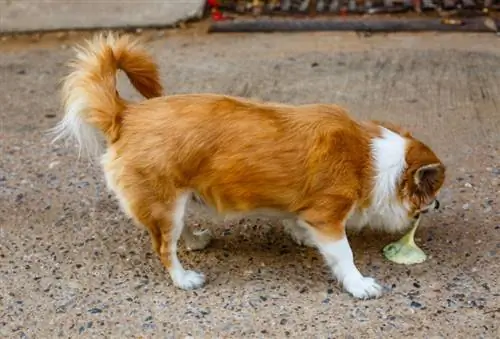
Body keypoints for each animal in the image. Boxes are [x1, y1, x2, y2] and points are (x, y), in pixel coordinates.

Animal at [51, 33, 446, 300]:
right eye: (432, 192)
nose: (438, 204)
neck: (370, 158)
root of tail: (126, 113)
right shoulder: (329, 217)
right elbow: (344, 255)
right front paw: (359, 284)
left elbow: (295, 221)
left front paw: (300, 234)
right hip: (165, 204)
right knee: (164, 248)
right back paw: (184, 278)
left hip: (177, 200)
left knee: (176, 234)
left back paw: (194, 241)